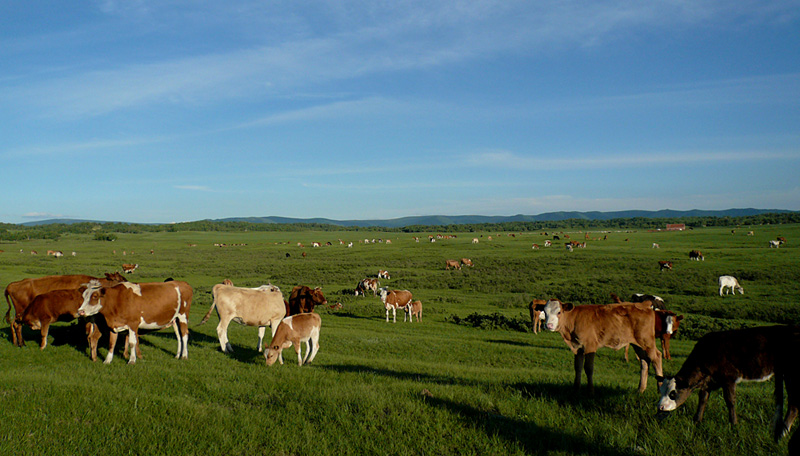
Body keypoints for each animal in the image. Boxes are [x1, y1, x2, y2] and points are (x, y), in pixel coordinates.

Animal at [656, 324, 800, 442]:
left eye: (673, 393)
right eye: (661, 391)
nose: (660, 407)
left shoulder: (729, 378)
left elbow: (730, 401)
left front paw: (734, 424)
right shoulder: (708, 381)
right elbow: (702, 399)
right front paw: (697, 421)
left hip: (792, 374)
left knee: (793, 406)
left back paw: (781, 435)